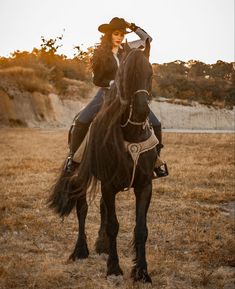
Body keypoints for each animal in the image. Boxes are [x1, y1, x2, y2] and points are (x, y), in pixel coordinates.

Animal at [47, 39, 158, 282]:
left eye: (151, 73)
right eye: (124, 75)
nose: (141, 112)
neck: (131, 134)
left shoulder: (145, 185)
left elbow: (141, 229)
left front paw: (141, 271)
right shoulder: (108, 185)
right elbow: (113, 226)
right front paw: (114, 268)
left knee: (101, 209)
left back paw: (102, 246)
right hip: (81, 177)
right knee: (83, 208)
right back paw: (80, 250)